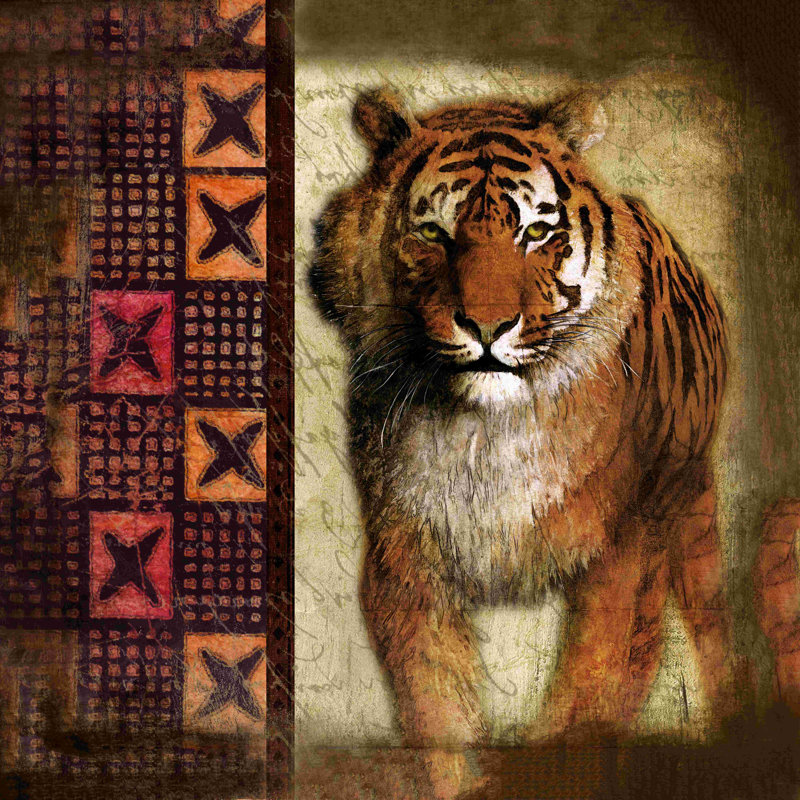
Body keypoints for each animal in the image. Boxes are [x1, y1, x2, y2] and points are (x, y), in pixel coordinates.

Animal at [310, 87, 737, 796]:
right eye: (433, 233)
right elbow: (439, 710)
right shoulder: (404, 553)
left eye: (534, 232)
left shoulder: (623, 553)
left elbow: (589, 690)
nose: (487, 327)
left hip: (689, 501)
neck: (487, 433)